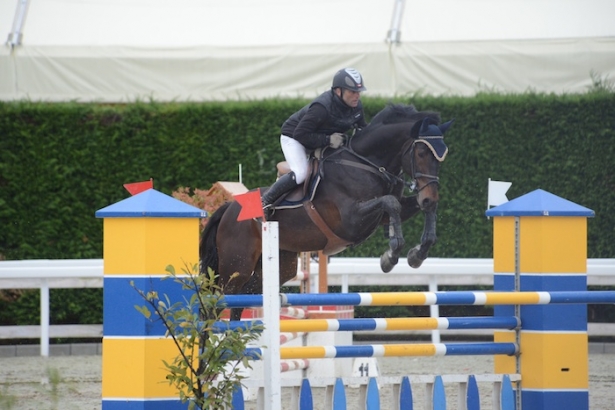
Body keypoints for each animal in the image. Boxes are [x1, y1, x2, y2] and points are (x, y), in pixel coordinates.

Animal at [201, 103, 452, 320]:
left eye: (442, 157)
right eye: (421, 153)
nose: (429, 196)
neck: (367, 164)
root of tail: (229, 208)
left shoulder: (379, 216)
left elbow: (409, 207)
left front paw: (417, 253)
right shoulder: (350, 220)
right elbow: (391, 203)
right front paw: (390, 257)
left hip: (280, 264)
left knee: (245, 298)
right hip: (237, 266)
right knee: (218, 305)